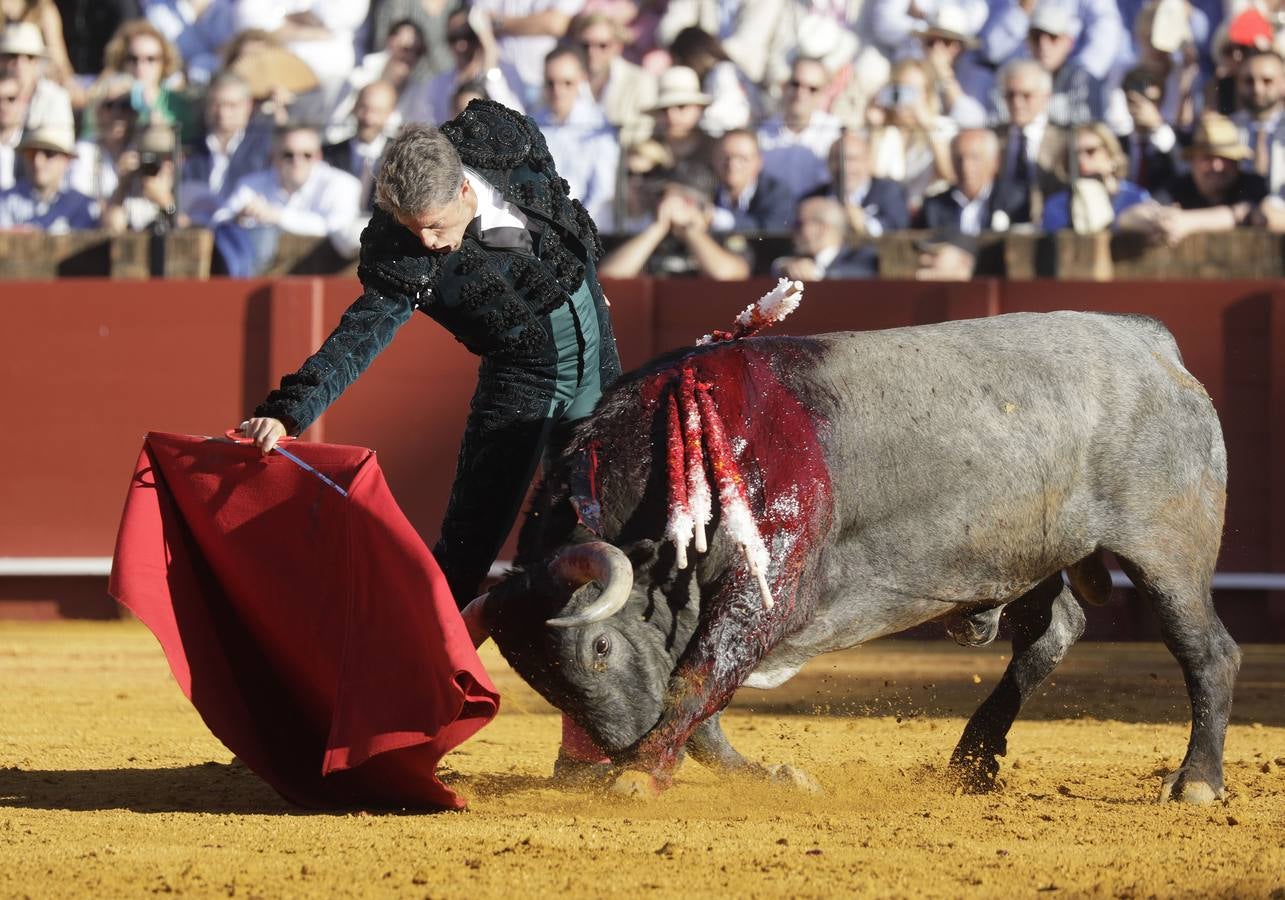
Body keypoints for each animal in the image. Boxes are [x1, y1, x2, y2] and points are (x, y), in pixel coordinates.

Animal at [462, 309, 1233, 802]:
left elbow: (697, 678)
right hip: (1030, 555)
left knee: (1206, 650)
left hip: (1166, 550)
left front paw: (638, 773)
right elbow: (701, 704)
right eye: (533, 675)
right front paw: (764, 776)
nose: (606, 758)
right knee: (1051, 634)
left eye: (597, 648)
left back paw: (1196, 781)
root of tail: (1149, 342)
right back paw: (971, 763)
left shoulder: (769, 587)